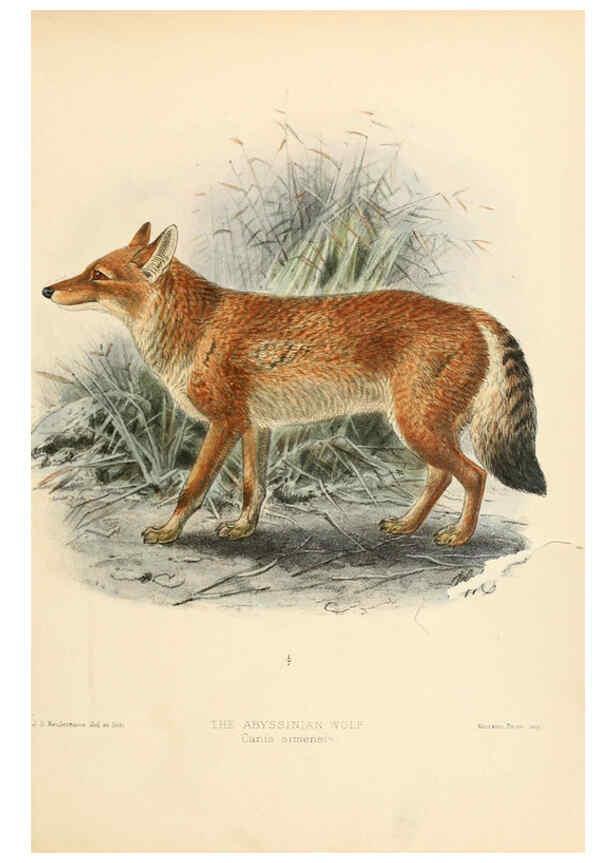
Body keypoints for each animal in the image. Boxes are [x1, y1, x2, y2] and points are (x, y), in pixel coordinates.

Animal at [41, 221, 546, 547]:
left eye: (98, 276)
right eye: (87, 269)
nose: (47, 290)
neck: (196, 327)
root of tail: (468, 312)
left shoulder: (224, 424)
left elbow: (192, 488)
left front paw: (168, 532)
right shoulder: (253, 427)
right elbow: (253, 487)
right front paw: (243, 529)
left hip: (419, 429)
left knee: (474, 475)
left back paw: (459, 536)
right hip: (423, 430)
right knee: (442, 477)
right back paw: (406, 526)